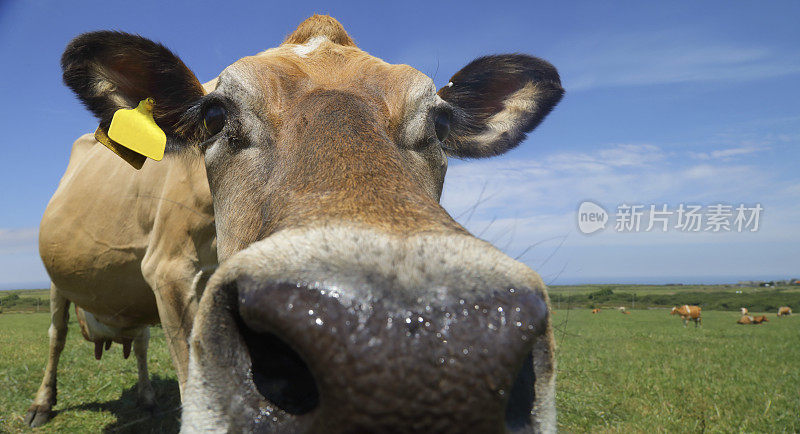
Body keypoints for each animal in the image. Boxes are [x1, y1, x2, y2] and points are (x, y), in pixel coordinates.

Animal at [28, 15, 564, 432]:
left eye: (442, 123)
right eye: (214, 114)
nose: (398, 364)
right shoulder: (168, 268)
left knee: (137, 339)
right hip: (56, 279)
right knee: (56, 334)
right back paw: (41, 405)